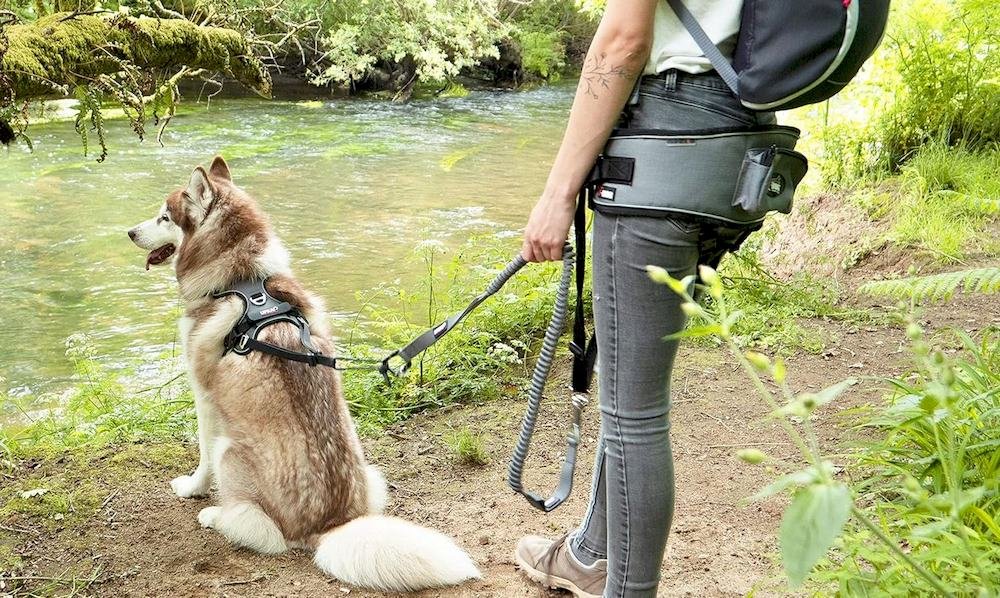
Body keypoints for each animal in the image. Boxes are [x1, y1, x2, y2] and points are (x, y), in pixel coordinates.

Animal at [128, 157, 480, 592]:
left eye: (164, 216)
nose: (129, 232)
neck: (244, 281)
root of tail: (329, 527)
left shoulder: (205, 397)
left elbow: (202, 459)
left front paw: (192, 490)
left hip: (231, 451)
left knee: (262, 533)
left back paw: (216, 516)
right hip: (372, 473)